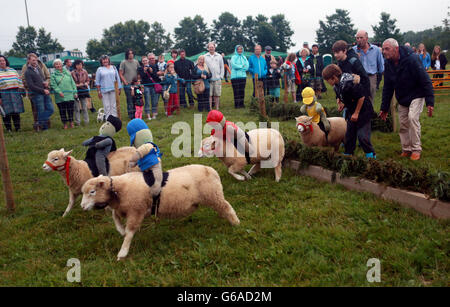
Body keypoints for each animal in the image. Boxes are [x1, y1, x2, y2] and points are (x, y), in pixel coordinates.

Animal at [79, 165, 239, 262]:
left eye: (92, 192)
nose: (82, 206)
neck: (119, 190)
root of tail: (211, 170)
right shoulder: (123, 209)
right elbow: (115, 217)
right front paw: (121, 230)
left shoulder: (136, 210)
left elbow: (130, 232)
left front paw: (122, 252)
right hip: (213, 196)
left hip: (213, 195)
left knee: (227, 207)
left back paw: (236, 223)